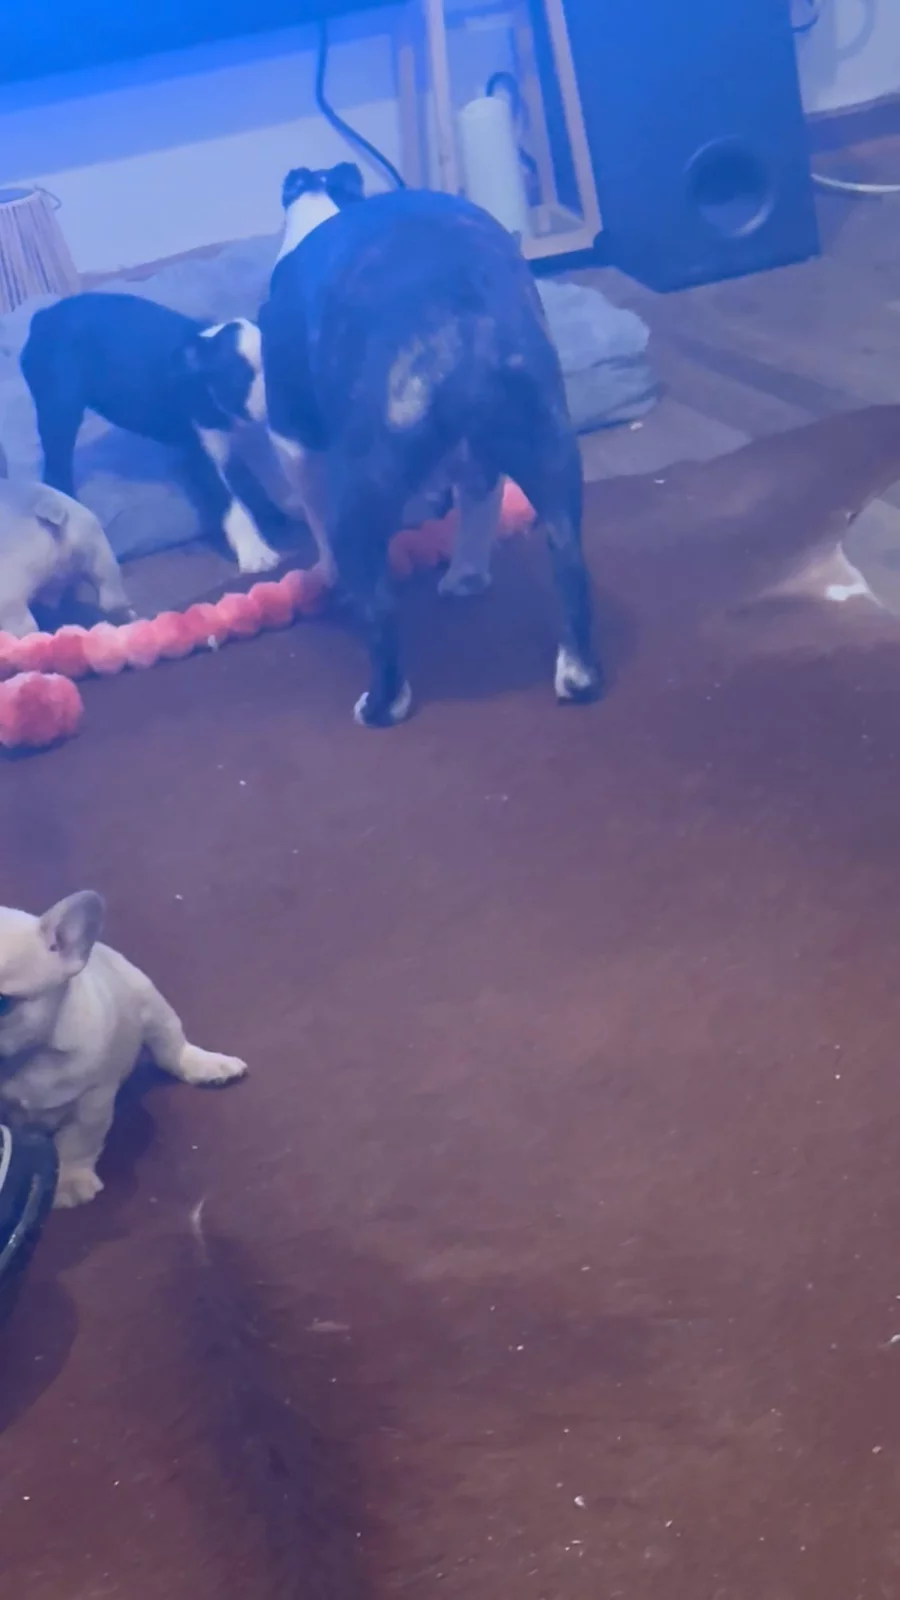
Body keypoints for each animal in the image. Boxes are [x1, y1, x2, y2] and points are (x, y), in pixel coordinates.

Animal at [0, 892, 247, 1208]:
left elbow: (78, 1140)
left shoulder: (92, 1100)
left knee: (171, 1049)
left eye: (2, 1003)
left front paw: (70, 1180)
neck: (22, 1061)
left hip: (152, 1006)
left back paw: (206, 1064)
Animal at [20, 293, 284, 574]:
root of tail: (44, 315)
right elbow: (231, 505)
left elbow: (252, 481)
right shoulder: (202, 458)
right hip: (59, 409)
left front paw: (274, 515)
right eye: (241, 378)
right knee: (56, 466)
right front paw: (255, 553)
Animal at [259, 165, 601, 727]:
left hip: (362, 496)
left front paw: (324, 572)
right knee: (567, 563)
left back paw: (380, 705)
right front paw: (466, 573)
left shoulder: (292, 441)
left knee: (379, 610)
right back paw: (573, 672)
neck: (328, 203)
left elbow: (314, 517)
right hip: (552, 456)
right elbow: (479, 506)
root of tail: (462, 336)